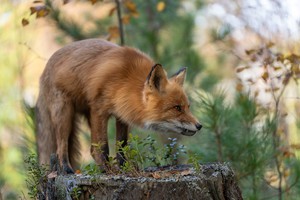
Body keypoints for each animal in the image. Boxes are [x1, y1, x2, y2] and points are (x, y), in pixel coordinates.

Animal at [37, 39, 202, 173]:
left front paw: (124, 168)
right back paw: (66, 169)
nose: (199, 126)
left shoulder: (122, 113)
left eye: (188, 107)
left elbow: (122, 145)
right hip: (65, 114)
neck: (124, 82)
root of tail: (45, 70)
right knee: (61, 146)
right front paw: (108, 170)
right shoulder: (99, 109)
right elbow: (102, 146)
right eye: (177, 108)